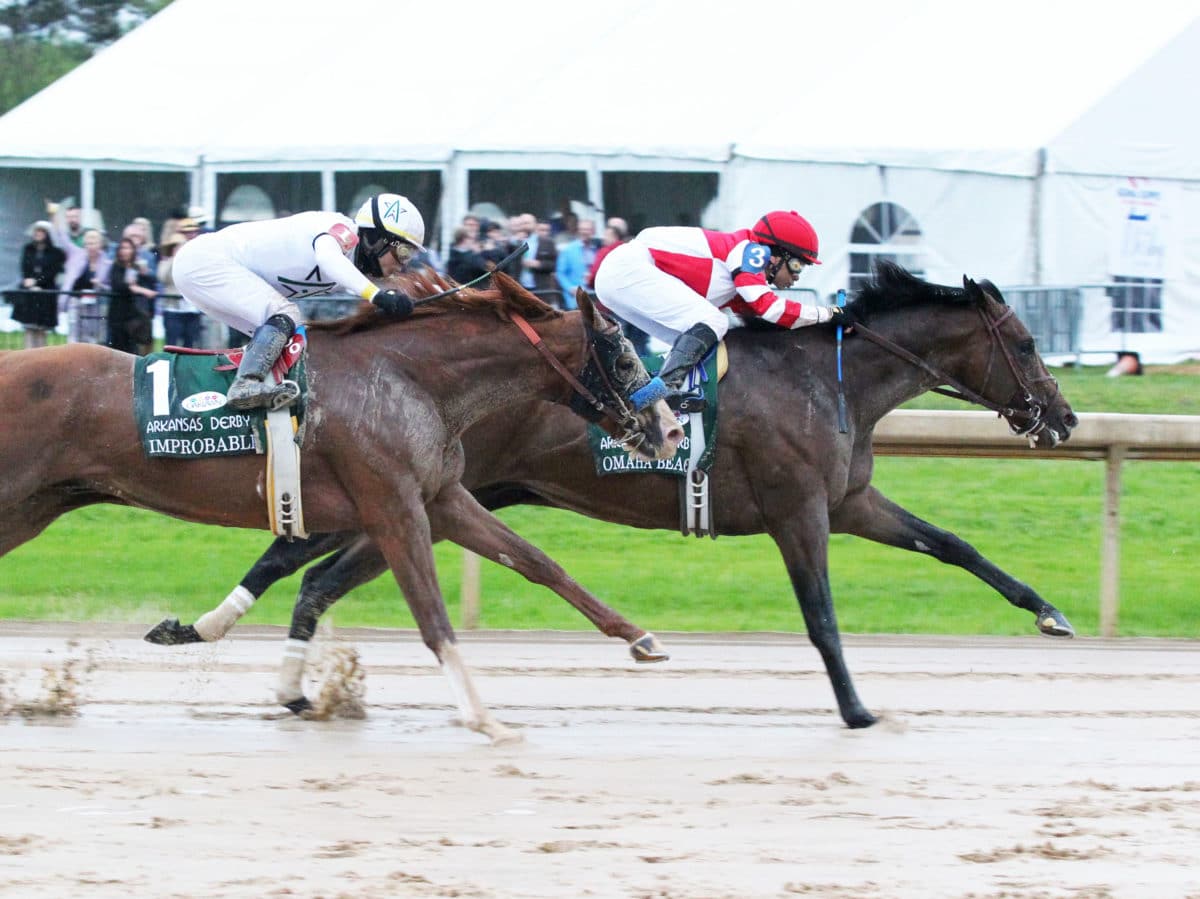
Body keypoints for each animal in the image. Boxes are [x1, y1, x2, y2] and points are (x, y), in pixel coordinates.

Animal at [0, 273, 686, 744]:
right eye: (625, 355)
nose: (673, 430)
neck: (414, 379)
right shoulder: (392, 508)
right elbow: (432, 615)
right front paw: (483, 718)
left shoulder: (441, 497)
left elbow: (538, 562)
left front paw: (641, 637)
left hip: (36, 506)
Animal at [147, 262, 1080, 724]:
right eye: (1028, 342)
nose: (1065, 417)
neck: (832, 379)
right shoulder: (799, 511)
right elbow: (820, 615)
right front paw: (855, 709)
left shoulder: (849, 503)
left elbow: (954, 543)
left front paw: (1049, 613)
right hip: (433, 494)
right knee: (301, 556)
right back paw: (215, 632)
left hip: (443, 498)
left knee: (311, 567)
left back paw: (250, 656)